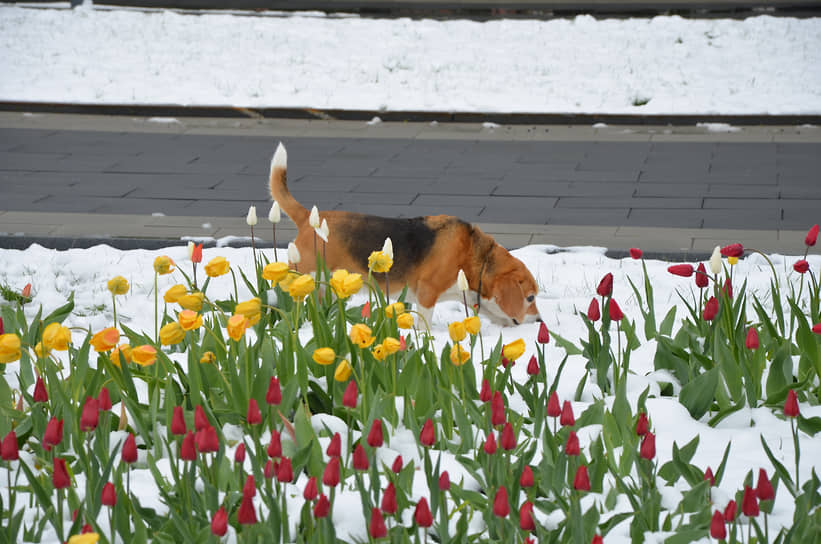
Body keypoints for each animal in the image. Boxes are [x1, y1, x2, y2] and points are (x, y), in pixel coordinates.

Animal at [268, 142, 540, 326]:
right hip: (303, 278)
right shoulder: (427, 293)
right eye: (529, 298)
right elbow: (424, 323)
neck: (478, 257)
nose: (539, 322)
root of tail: (308, 218)